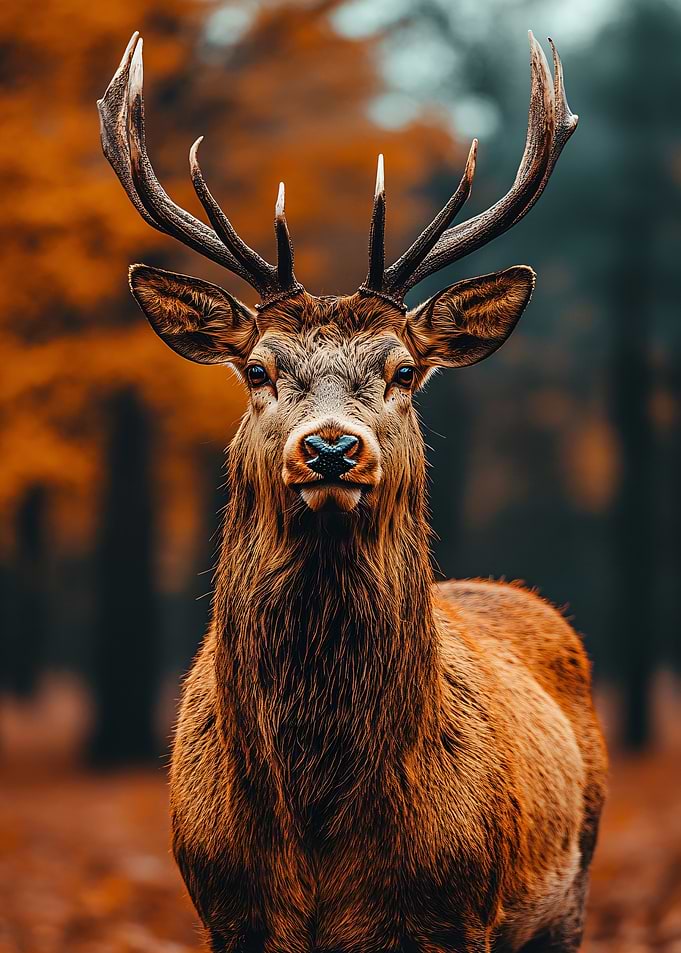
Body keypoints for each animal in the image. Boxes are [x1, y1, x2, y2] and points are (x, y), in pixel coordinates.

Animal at [98, 30, 607, 953]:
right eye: (256, 370)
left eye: (403, 371)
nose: (331, 447)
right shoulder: (225, 908)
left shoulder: (454, 911)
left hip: (568, 893)